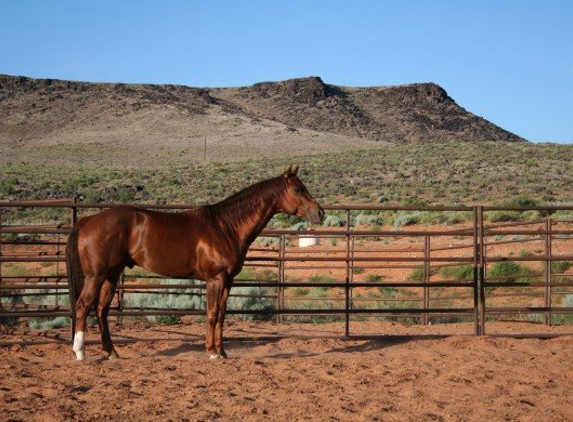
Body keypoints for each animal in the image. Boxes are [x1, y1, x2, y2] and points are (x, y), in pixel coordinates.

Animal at [65, 165, 324, 360]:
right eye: (298, 189)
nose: (320, 213)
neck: (226, 226)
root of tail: (87, 220)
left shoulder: (228, 281)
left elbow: (221, 315)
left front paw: (223, 352)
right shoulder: (215, 279)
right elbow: (211, 313)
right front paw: (212, 352)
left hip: (111, 275)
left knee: (101, 309)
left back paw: (111, 352)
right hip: (96, 276)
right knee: (83, 306)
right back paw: (80, 352)